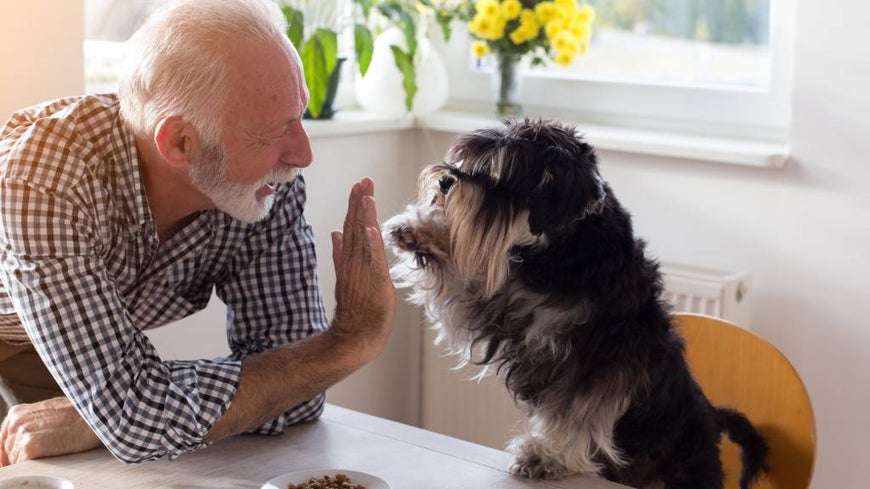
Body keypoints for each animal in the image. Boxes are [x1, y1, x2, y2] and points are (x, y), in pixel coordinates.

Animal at [382, 118, 768, 488]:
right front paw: (417, 230)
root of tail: (712, 417)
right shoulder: (501, 307)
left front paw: (545, 456)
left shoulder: (598, 360)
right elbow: (464, 279)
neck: (564, 249)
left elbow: (577, 413)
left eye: (502, 175)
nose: (445, 180)